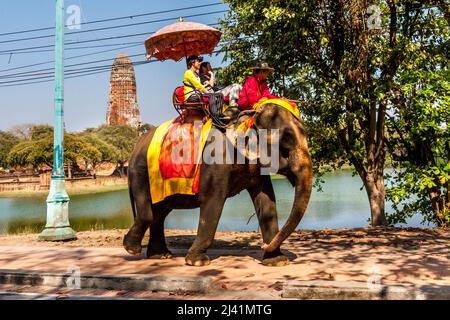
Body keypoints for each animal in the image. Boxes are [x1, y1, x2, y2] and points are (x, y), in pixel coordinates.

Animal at [123, 104, 312, 266]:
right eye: (285, 146)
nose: (263, 246)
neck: (246, 118)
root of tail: (134, 147)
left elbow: (267, 201)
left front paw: (277, 261)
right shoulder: (215, 161)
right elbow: (213, 201)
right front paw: (197, 262)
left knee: (159, 213)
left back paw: (160, 255)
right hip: (141, 172)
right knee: (148, 212)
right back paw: (132, 249)